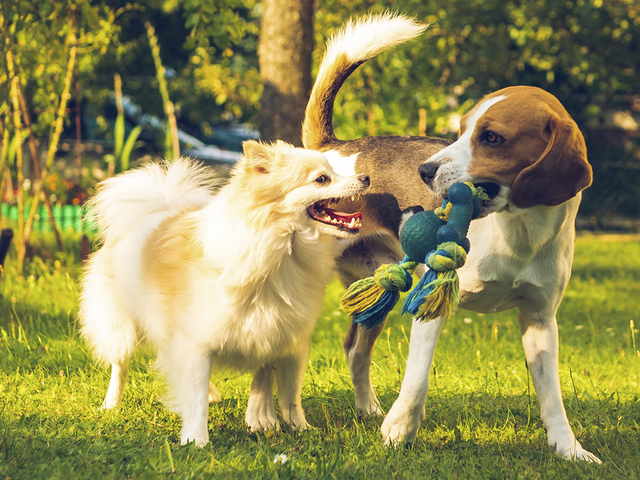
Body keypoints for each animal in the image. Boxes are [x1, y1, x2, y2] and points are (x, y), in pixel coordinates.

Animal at [80, 141, 370, 448]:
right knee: (119, 366)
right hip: (121, 330)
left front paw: (297, 428)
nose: (365, 178)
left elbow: (288, 394)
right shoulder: (197, 342)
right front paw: (196, 440)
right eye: (322, 179)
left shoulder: (285, 338)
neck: (281, 250)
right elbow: (195, 399)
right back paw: (111, 404)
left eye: (334, 171)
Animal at [302, 15, 596, 464]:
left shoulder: (541, 320)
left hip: (379, 290)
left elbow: (553, 398)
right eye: (459, 132)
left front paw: (568, 448)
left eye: (492, 138)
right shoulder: (432, 301)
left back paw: (368, 410)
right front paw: (399, 432)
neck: (518, 231)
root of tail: (336, 149)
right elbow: (417, 380)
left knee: (355, 350)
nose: (424, 172)